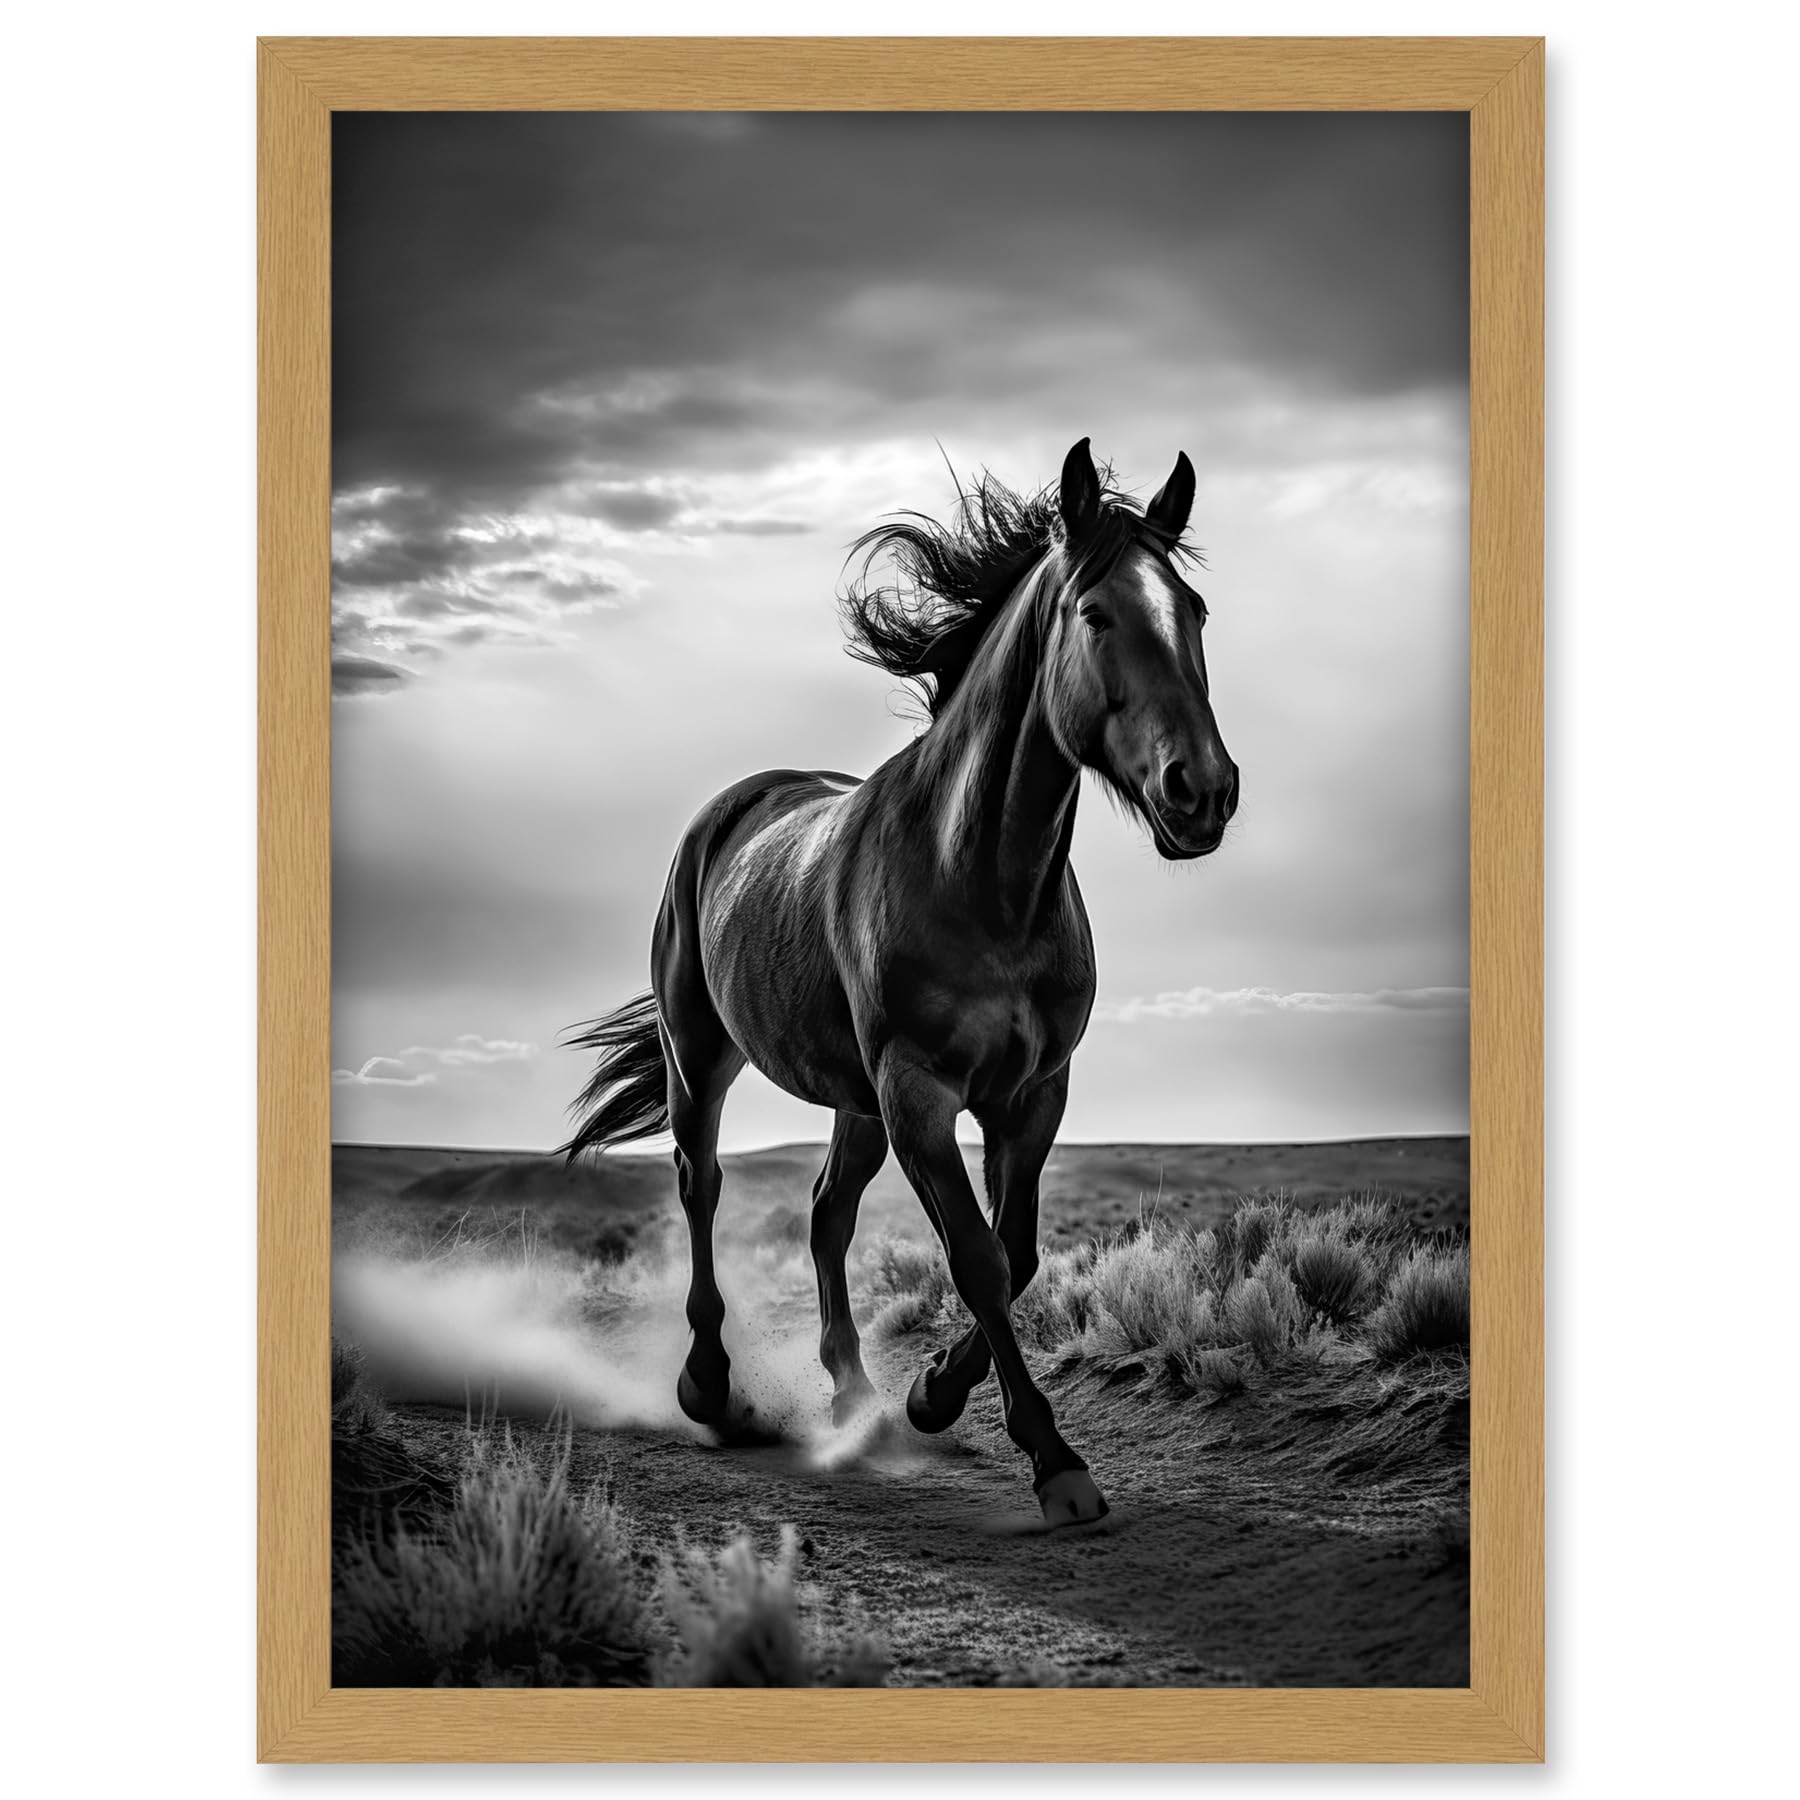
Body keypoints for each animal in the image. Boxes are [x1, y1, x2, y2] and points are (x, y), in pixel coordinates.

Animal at [563, 438, 1237, 1526]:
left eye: (1197, 612)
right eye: (1097, 614)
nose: (1204, 792)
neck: (983, 881)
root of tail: (727, 811)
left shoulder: (1030, 1096)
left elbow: (1019, 1253)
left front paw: (931, 1393)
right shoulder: (919, 1092)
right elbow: (978, 1259)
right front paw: (1053, 1459)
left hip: (852, 1101)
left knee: (826, 1213)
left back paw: (854, 1396)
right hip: (703, 1057)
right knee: (702, 1185)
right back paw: (710, 1386)